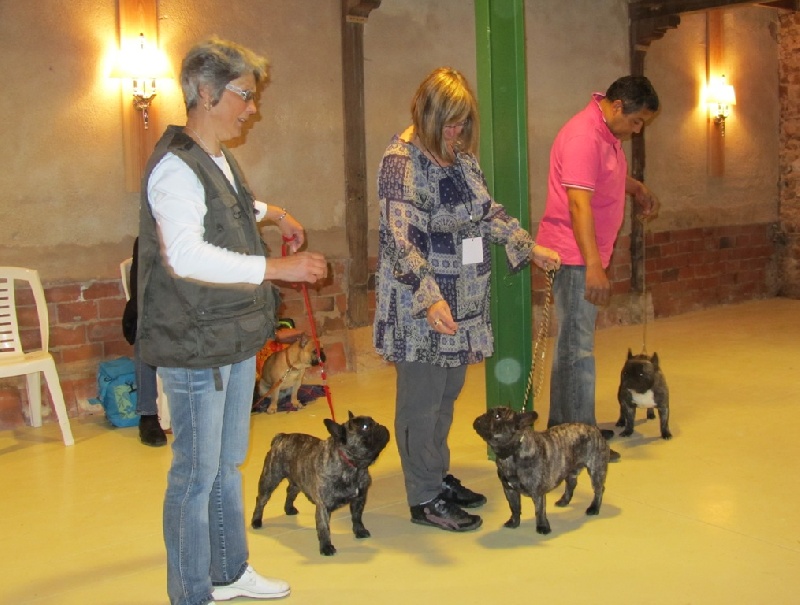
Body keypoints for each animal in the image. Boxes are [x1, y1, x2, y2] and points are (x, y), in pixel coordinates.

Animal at [250, 411, 390, 556]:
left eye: (373, 422)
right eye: (365, 427)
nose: (380, 425)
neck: (352, 466)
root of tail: (281, 437)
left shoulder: (359, 499)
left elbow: (357, 517)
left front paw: (359, 530)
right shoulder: (323, 507)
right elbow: (324, 528)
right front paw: (326, 546)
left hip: (298, 479)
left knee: (290, 491)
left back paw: (288, 509)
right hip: (270, 480)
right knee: (261, 500)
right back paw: (256, 520)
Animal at [473, 407, 609, 535]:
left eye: (497, 416)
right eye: (488, 412)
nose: (479, 418)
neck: (512, 452)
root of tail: (594, 429)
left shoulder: (537, 493)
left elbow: (539, 511)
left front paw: (542, 527)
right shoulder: (509, 489)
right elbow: (514, 507)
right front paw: (514, 522)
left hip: (596, 470)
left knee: (598, 489)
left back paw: (594, 508)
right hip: (569, 468)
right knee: (571, 483)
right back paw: (564, 501)